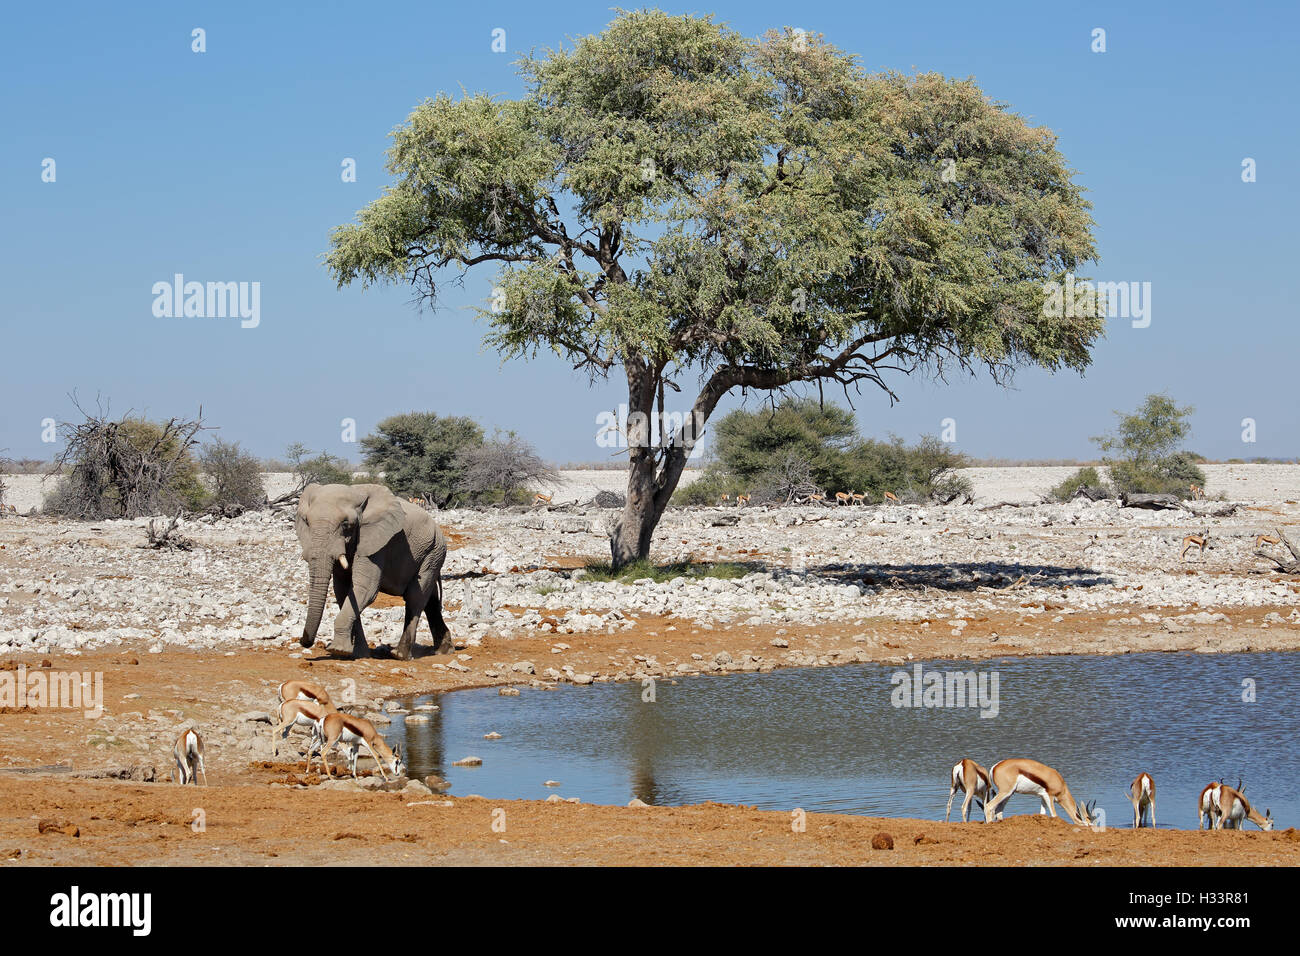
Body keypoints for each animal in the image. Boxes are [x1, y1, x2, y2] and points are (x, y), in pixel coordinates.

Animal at [295, 486, 452, 658]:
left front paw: (337, 649)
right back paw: (444, 650)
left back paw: (400, 655)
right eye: (307, 521)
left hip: (433, 552)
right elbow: (344, 591)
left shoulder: (377, 543)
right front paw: (359, 654)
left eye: (346, 524)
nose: (303, 642)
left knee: (415, 597)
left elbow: (365, 589)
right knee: (431, 600)